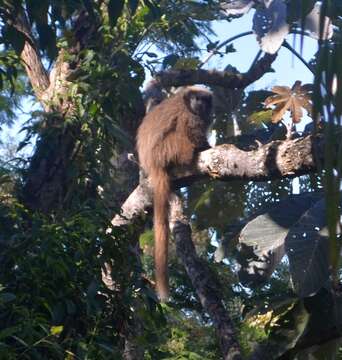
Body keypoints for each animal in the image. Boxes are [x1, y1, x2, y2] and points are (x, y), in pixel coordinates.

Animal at [137, 87, 212, 300]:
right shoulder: (189, 115)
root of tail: (153, 164)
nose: (200, 104)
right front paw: (206, 147)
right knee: (182, 132)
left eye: (204, 100)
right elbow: (192, 130)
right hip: (170, 148)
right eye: (197, 99)